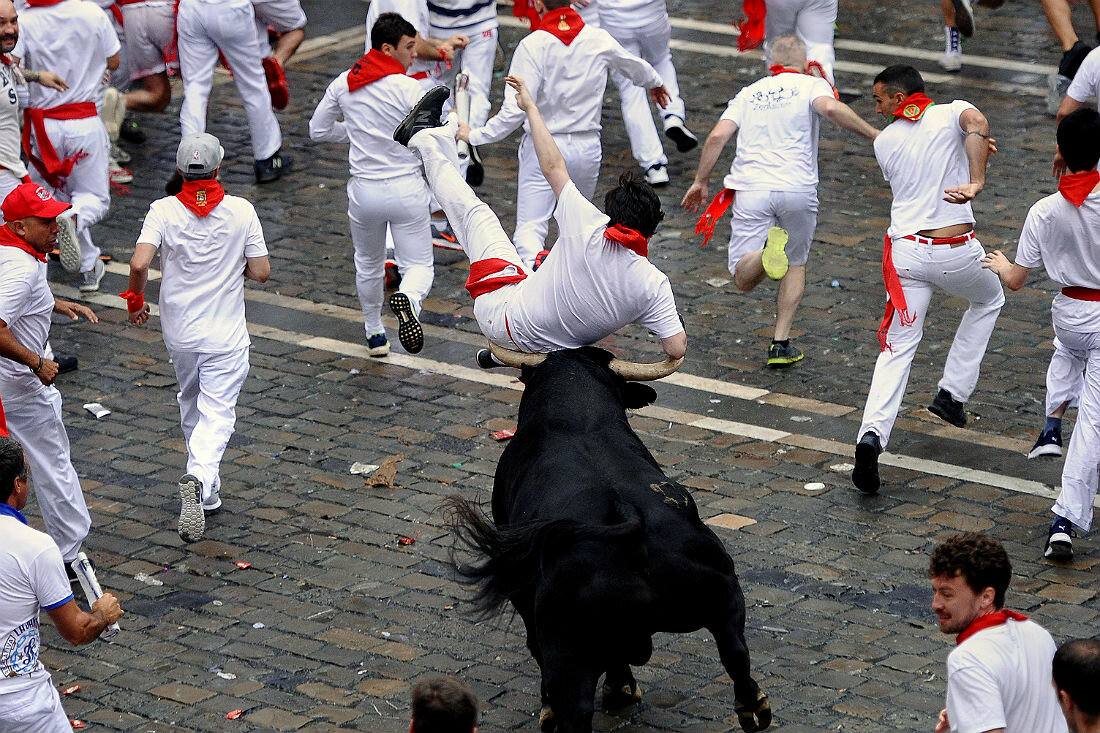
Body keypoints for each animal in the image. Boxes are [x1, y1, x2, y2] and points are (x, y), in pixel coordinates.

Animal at [442, 345, 770, 726]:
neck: (579, 419)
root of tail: (629, 521)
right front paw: (621, 689)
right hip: (724, 593)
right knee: (736, 655)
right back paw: (752, 706)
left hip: (566, 646)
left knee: (574, 706)